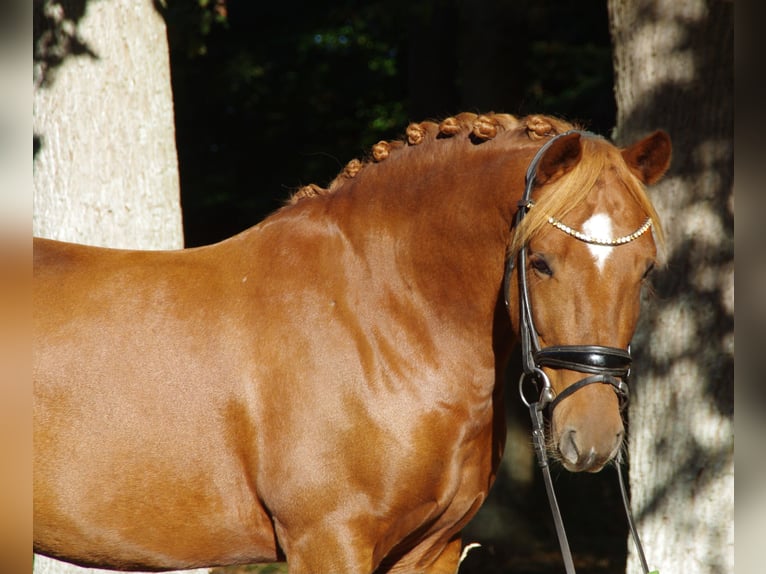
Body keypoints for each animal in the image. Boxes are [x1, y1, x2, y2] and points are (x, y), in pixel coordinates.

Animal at [33, 112, 671, 574]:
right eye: (540, 262)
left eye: (645, 270)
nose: (592, 435)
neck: (380, 321)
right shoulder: (329, 541)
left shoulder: (431, 550)